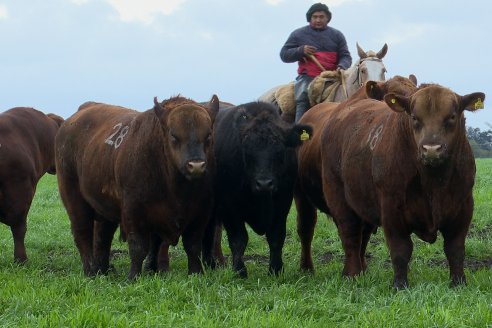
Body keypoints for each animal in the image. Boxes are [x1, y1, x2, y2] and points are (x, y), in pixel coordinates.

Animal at [54, 95, 218, 280]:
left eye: (208, 134)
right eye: (173, 135)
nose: (196, 165)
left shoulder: (201, 213)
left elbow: (192, 246)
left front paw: (195, 274)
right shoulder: (133, 211)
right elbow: (138, 247)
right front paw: (133, 277)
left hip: (106, 209)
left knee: (103, 237)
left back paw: (103, 269)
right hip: (74, 198)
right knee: (82, 233)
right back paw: (91, 271)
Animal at [296, 80, 484, 288]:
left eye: (451, 116)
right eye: (414, 117)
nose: (431, 149)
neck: (432, 182)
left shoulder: (463, 207)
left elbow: (455, 248)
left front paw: (458, 282)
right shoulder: (392, 210)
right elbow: (401, 249)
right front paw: (400, 285)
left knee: (361, 236)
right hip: (328, 197)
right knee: (340, 233)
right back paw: (343, 273)